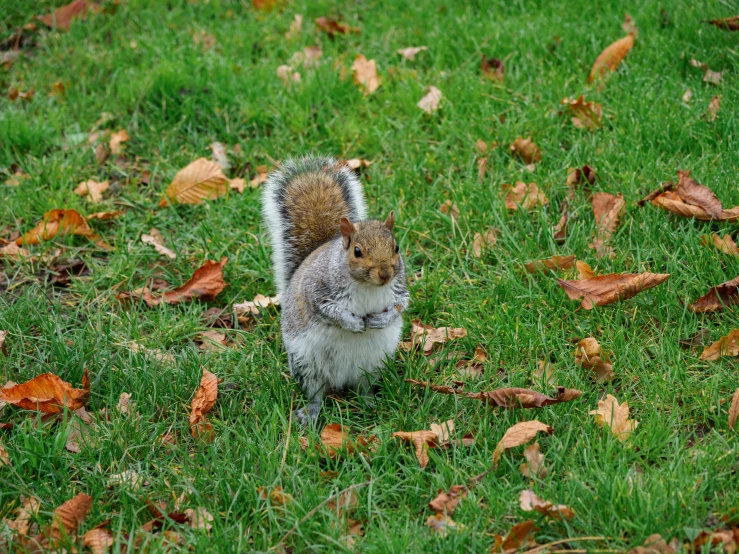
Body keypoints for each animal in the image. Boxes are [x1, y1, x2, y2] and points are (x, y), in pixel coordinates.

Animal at [264, 154, 410, 422]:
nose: (385, 274)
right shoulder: (317, 291)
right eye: (357, 251)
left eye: (396, 247)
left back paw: (369, 402)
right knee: (315, 392)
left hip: (373, 364)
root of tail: (342, 379)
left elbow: (400, 305)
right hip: (306, 363)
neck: (367, 285)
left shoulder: (399, 288)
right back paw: (311, 413)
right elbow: (328, 310)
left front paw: (382, 320)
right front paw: (351, 323)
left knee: (364, 385)